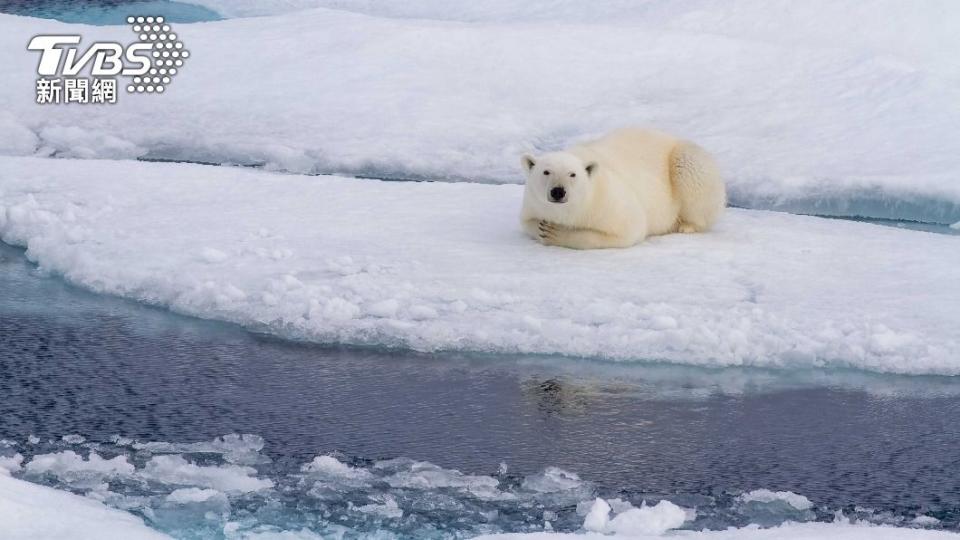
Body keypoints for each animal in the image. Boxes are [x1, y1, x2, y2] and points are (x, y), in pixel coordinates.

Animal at [520, 129, 724, 249]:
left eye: (572, 174)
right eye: (546, 171)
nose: (558, 191)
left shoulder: (605, 201)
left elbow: (626, 230)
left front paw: (554, 233)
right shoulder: (533, 203)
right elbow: (527, 223)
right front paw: (542, 227)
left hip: (685, 160)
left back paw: (685, 225)